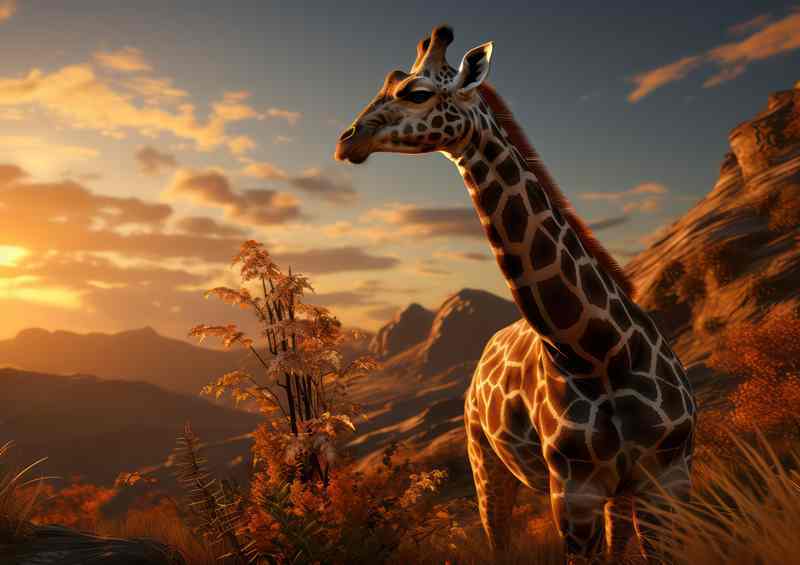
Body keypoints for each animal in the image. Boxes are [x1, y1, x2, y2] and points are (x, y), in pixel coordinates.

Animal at [334, 25, 696, 563]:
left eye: (416, 92)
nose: (346, 141)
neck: (599, 352)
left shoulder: (668, 483)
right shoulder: (574, 496)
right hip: (485, 463)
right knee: (497, 538)